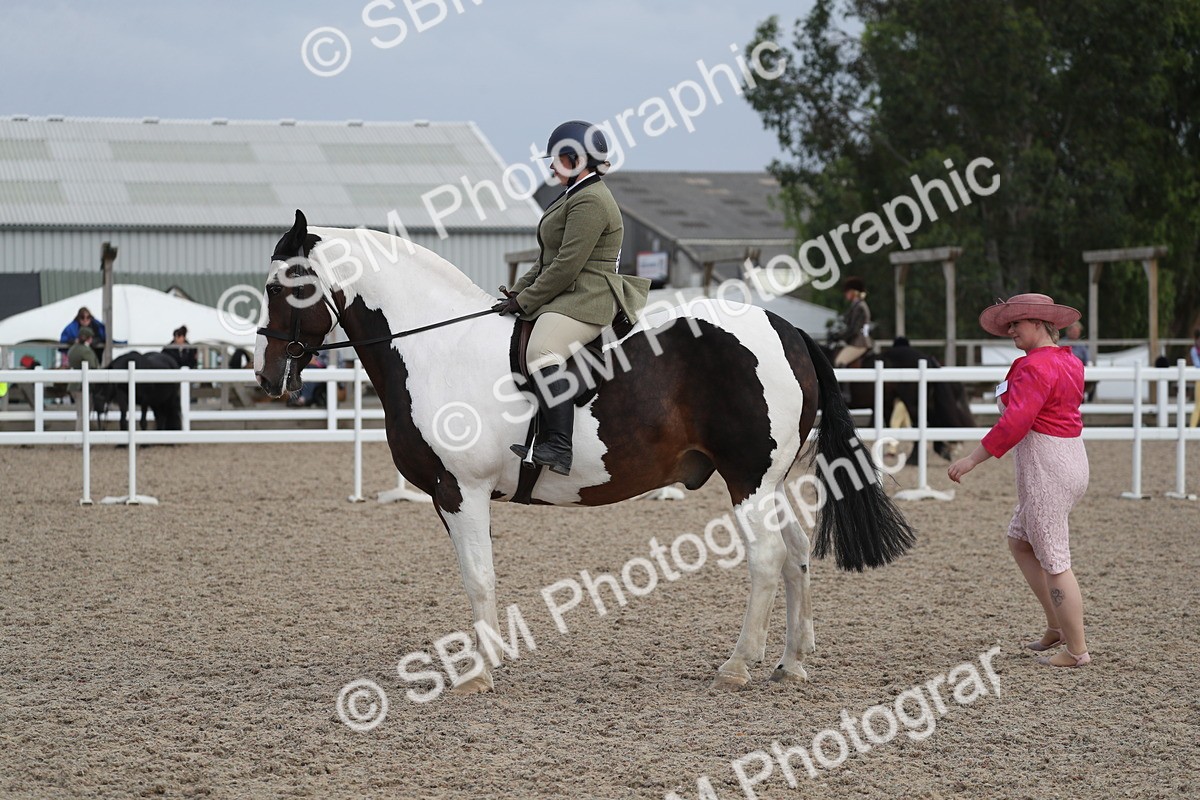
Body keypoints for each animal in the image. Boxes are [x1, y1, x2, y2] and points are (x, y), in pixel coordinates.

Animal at [254, 210, 915, 694]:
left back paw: (737, 665)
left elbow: (478, 579)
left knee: (767, 557)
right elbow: (479, 576)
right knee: (797, 553)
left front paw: (479, 673)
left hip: (748, 480)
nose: (266, 377)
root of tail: (788, 329)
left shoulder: (460, 491)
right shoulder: (454, 497)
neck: (437, 346)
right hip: (768, 481)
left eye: (282, 286)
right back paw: (792, 661)